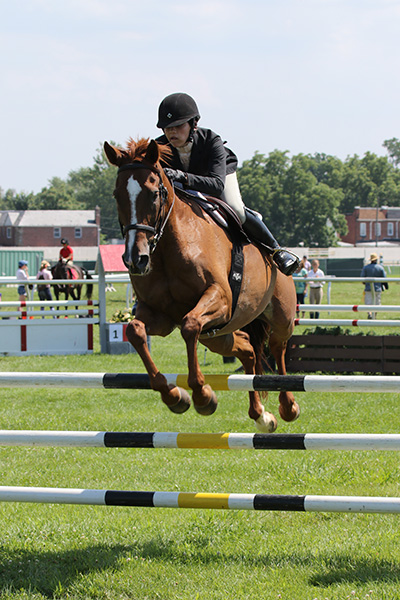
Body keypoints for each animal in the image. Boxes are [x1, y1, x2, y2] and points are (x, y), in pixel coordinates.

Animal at [104, 139, 298, 432]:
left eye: (153, 194)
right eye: (117, 195)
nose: (135, 260)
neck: (167, 249)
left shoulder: (220, 299)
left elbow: (189, 325)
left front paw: (203, 396)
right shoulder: (159, 316)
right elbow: (135, 331)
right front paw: (175, 397)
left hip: (280, 315)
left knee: (277, 346)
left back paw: (287, 406)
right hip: (218, 335)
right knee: (247, 350)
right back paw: (261, 415)